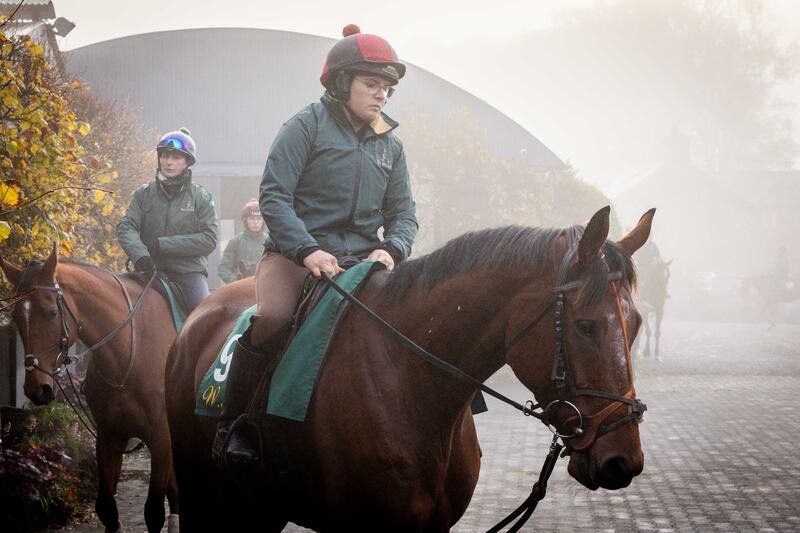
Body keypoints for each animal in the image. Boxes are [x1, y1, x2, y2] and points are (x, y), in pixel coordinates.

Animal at [1, 248, 180, 532]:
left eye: (51, 313)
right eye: (17, 316)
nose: (37, 389)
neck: (129, 355)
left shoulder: (161, 437)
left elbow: (153, 511)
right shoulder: (109, 436)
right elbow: (107, 509)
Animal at [166, 206, 652, 528]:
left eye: (636, 325)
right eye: (586, 326)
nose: (622, 460)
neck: (410, 385)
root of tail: (197, 316)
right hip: (199, 492)